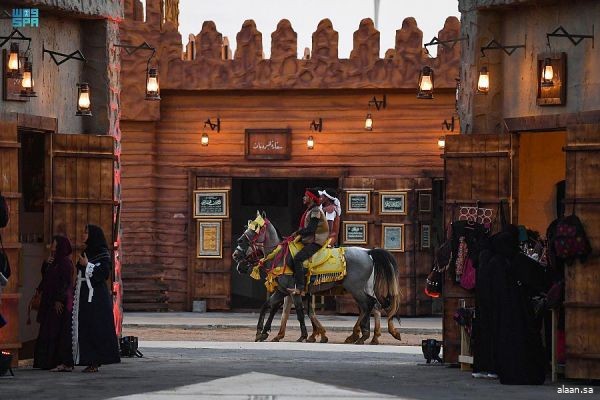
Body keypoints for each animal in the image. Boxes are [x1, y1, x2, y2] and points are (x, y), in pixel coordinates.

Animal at [232, 211, 400, 346]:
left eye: (255, 228)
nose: (236, 253)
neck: (281, 256)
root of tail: (368, 252)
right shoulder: (283, 291)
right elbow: (269, 306)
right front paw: (262, 332)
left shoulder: (294, 291)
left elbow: (299, 311)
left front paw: (304, 335)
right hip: (359, 289)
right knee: (370, 306)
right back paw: (365, 336)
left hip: (356, 288)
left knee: (370, 305)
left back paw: (364, 335)